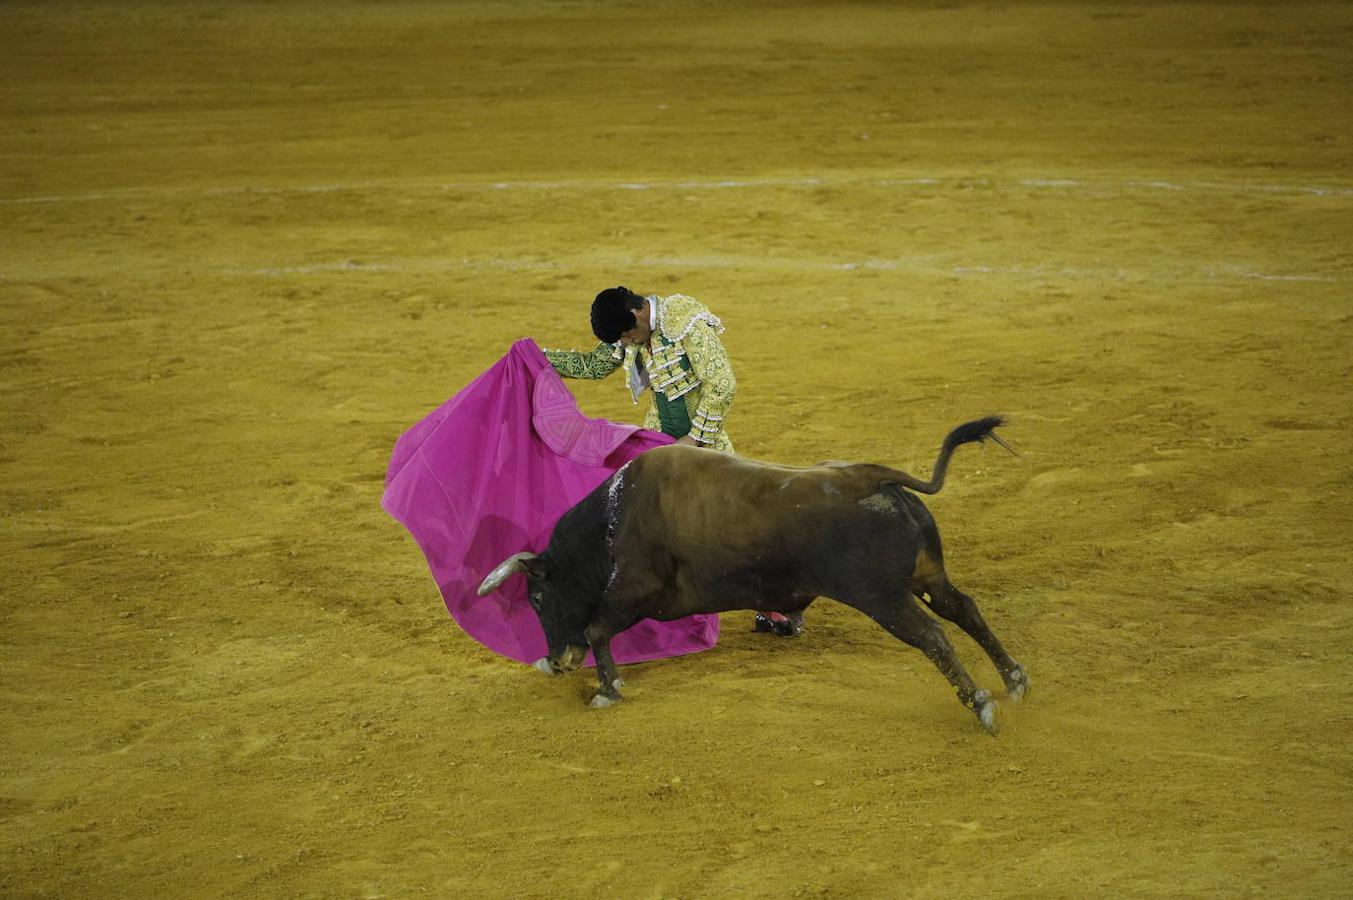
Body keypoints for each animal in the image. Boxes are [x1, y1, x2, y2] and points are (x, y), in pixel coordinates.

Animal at [476, 416, 1022, 736]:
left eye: (538, 598)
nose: (558, 660)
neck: (613, 517)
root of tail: (869, 477)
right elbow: (599, 629)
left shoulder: (636, 588)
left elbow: (595, 628)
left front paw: (607, 690)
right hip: (928, 577)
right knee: (964, 609)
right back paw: (1014, 680)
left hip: (881, 596)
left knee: (932, 635)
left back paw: (981, 704)